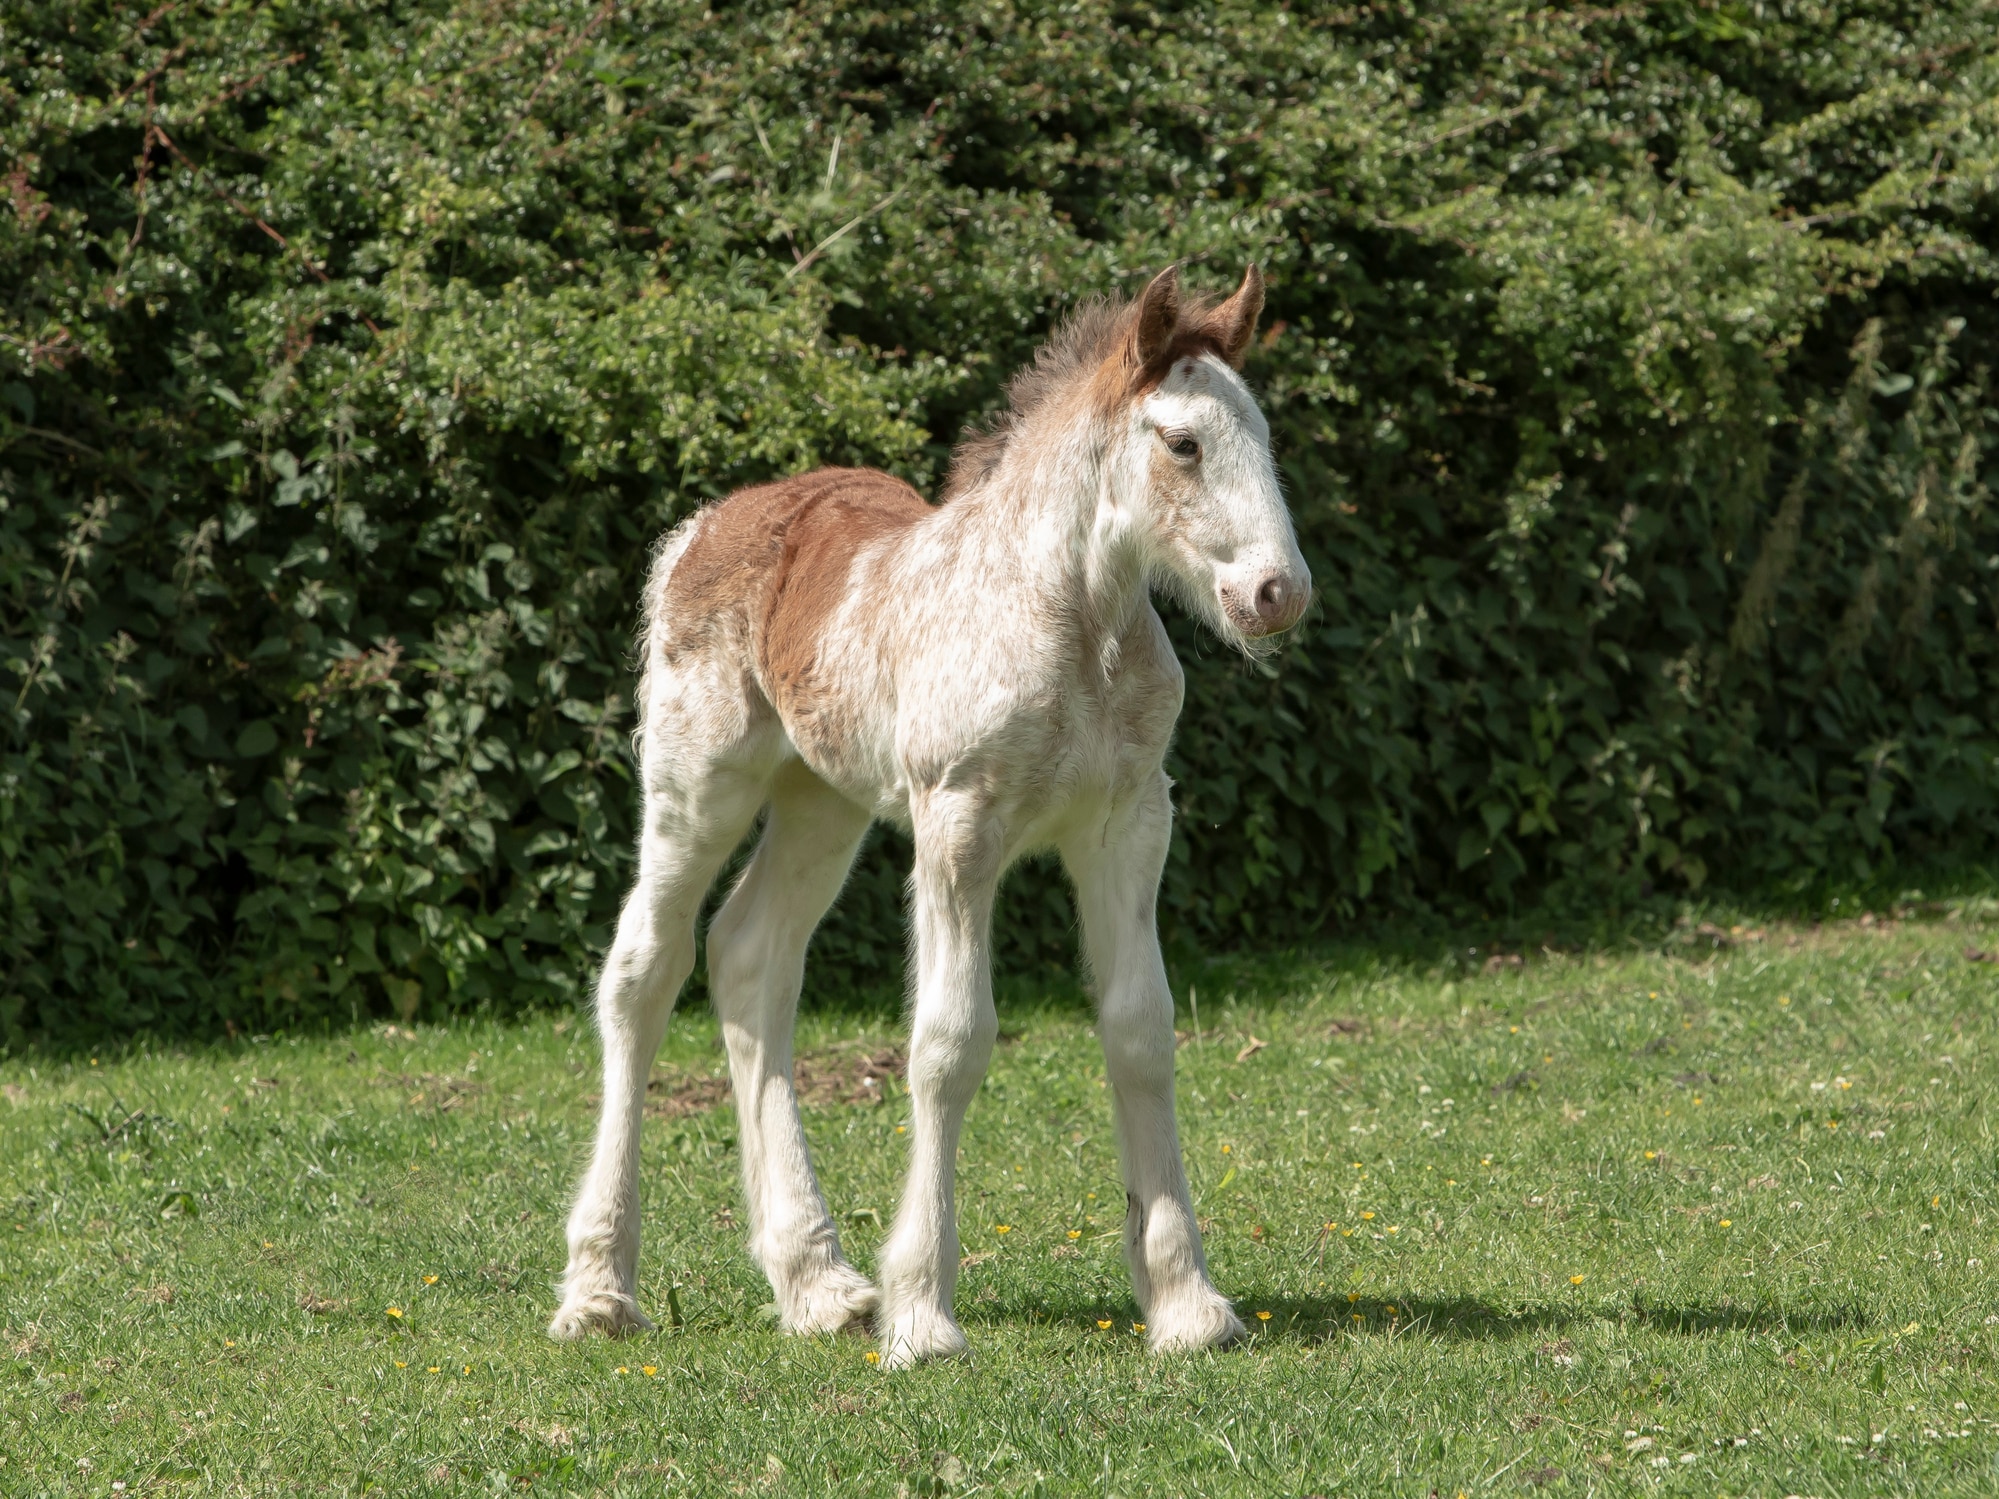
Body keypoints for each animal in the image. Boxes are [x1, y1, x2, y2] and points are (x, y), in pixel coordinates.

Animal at [555, 263, 1319, 1367]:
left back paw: (818, 1283)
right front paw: (921, 1314)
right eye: (1182, 442)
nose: (1275, 592)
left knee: (749, 955)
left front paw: (1185, 1303)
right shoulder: (959, 825)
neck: (1072, 626)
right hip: (697, 780)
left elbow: (1139, 1027)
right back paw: (600, 1288)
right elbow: (949, 1042)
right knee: (642, 970)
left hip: (821, 801)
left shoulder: (1129, 823)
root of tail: (699, 528)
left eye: (1259, 432)